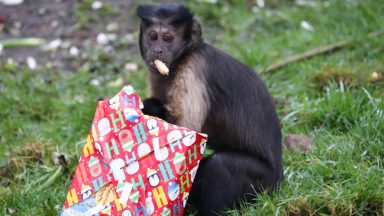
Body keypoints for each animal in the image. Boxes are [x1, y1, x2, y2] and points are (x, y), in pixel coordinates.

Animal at [137, 3, 282, 216]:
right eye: (153, 37)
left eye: (168, 38)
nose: (157, 50)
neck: (183, 57)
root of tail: (279, 179)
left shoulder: (191, 72)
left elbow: (186, 133)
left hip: (262, 185)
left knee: (221, 165)